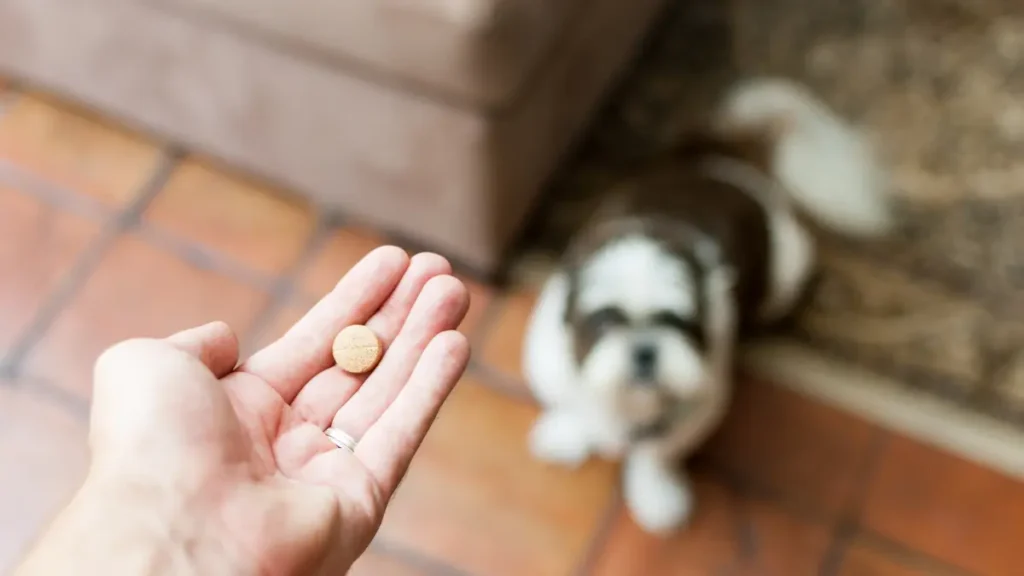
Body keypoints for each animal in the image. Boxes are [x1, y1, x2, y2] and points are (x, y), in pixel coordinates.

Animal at [524, 78, 892, 532]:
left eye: (678, 322)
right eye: (607, 320)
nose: (644, 350)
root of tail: (721, 157)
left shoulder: (701, 399)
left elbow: (660, 449)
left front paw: (655, 490)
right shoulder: (551, 361)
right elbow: (574, 402)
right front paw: (570, 431)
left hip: (787, 269)